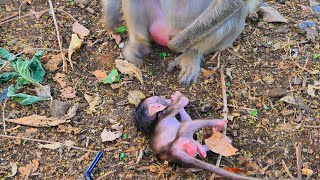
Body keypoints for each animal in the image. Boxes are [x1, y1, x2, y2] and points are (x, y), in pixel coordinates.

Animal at [102, 0, 258, 84]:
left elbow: (232, 2)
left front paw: (178, 43)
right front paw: (110, 11)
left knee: (238, 11)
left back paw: (191, 53)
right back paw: (138, 44)